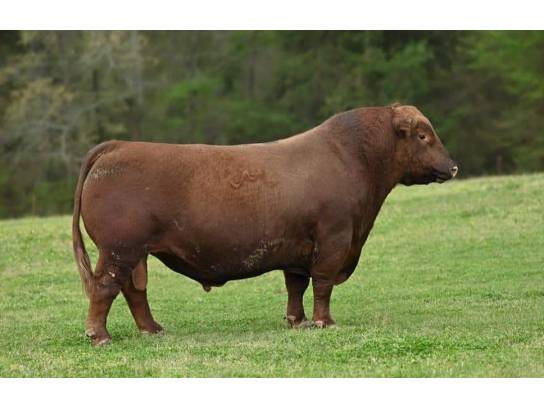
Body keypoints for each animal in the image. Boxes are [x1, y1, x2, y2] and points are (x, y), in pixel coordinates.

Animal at [72, 104, 458, 346]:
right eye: (423, 136)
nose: (453, 167)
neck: (352, 157)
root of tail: (118, 146)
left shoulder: (298, 249)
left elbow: (296, 286)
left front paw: (297, 321)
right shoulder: (334, 239)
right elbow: (323, 285)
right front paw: (325, 322)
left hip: (135, 253)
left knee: (134, 291)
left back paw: (152, 330)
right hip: (119, 250)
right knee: (105, 288)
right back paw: (100, 336)